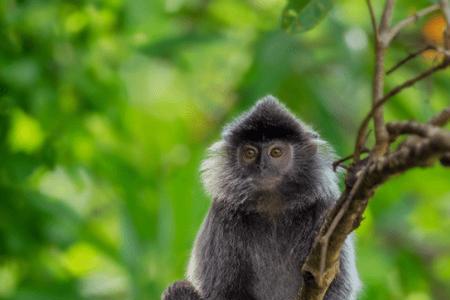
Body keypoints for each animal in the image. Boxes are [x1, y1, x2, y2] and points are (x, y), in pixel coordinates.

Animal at [162, 96, 362, 300]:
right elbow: (220, 290)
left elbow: (338, 285)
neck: (272, 206)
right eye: (250, 153)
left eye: (276, 152)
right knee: (178, 288)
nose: (262, 166)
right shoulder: (222, 213)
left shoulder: (327, 208)